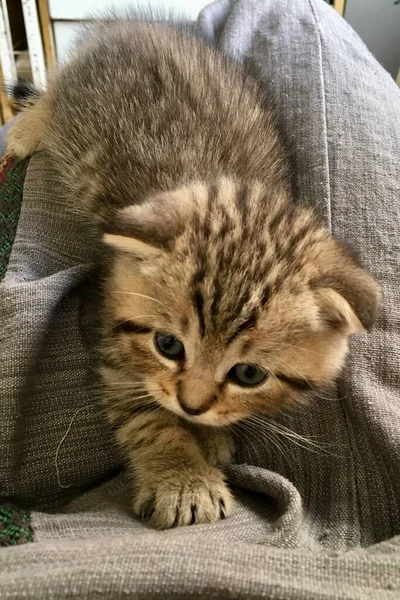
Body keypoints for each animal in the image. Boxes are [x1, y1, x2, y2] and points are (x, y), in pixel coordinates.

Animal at [7, 16, 382, 528]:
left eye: (249, 374)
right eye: (168, 345)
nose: (192, 404)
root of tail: (129, 29)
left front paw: (207, 434)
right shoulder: (108, 335)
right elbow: (145, 414)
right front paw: (183, 477)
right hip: (79, 96)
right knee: (55, 89)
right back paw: (27, 126)